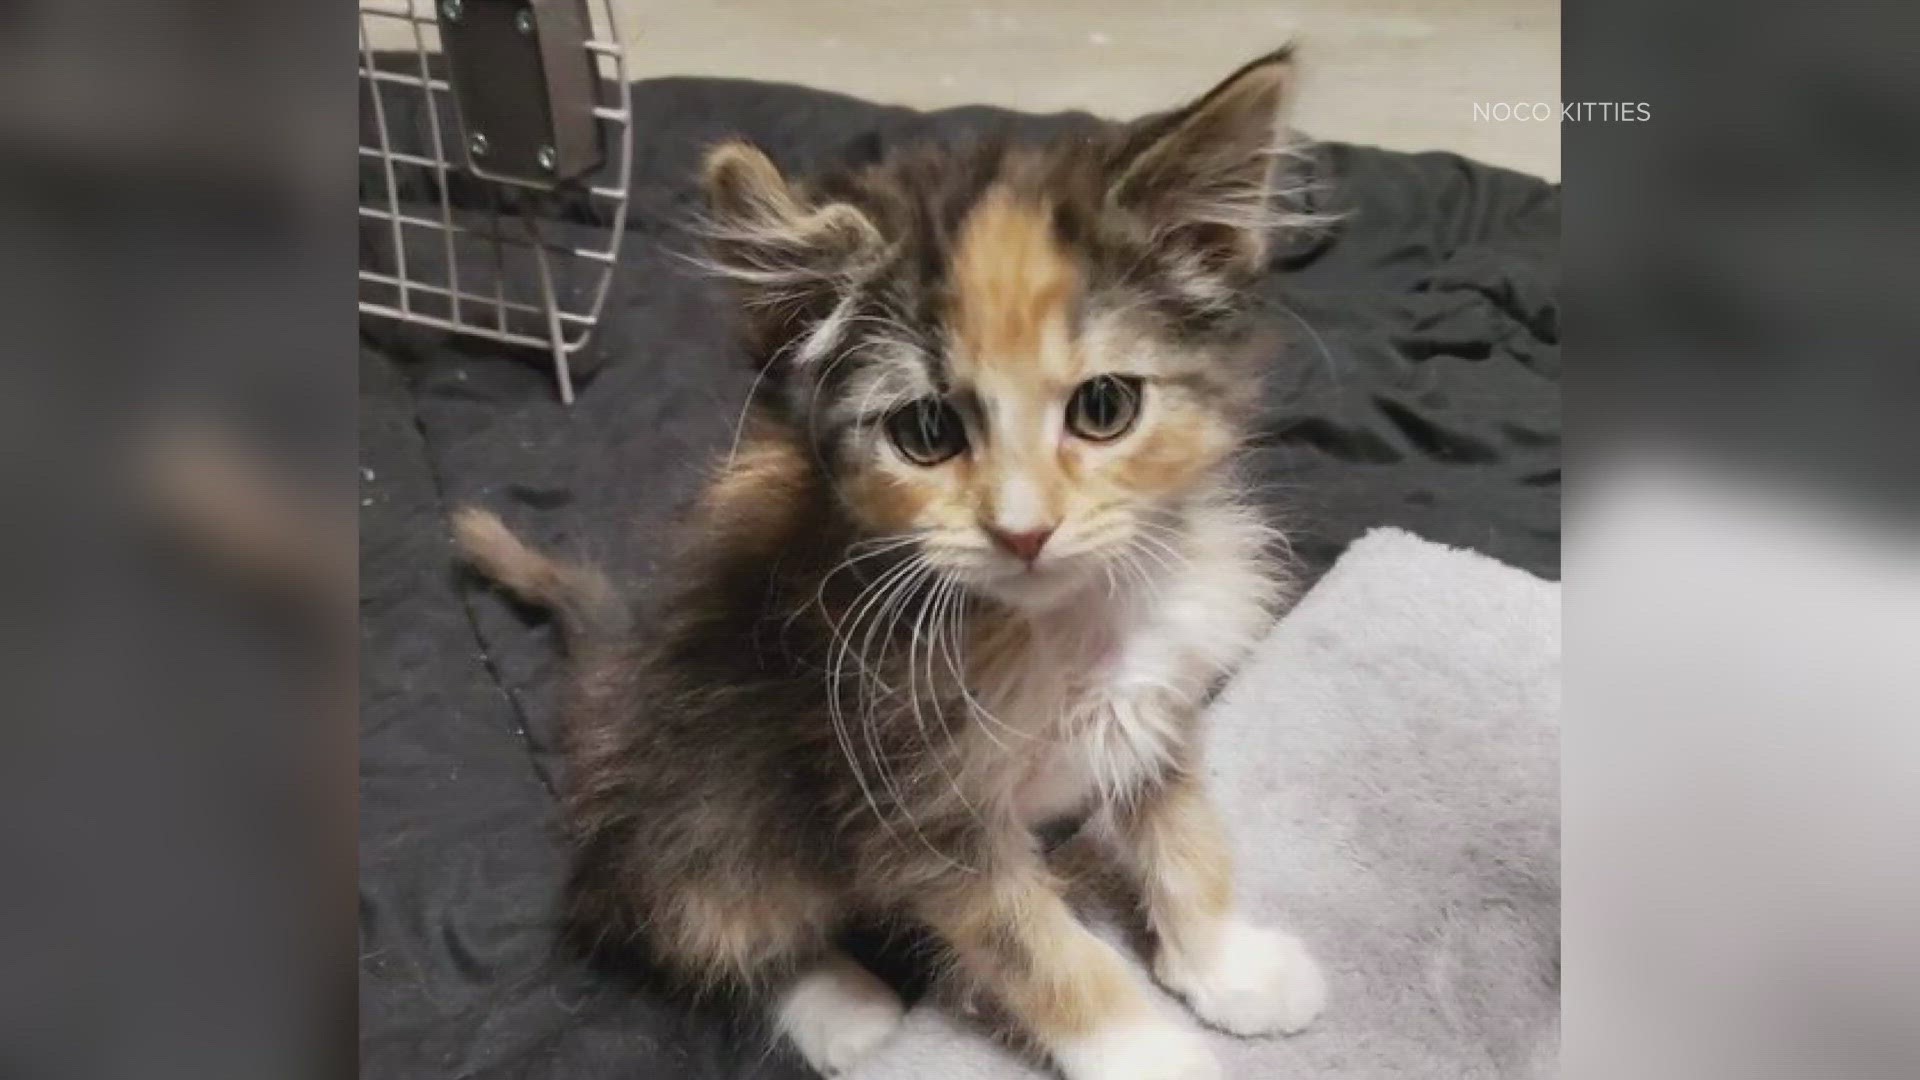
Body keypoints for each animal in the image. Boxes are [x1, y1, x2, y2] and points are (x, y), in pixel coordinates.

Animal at [456, 46, 1328, 1076]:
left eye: (1104, 408)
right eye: (928, 431)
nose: (1024, 531)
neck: (1056, 627)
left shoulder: (1157, 702)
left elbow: (1186, 837)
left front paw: (1226, 964)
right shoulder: (910, 807)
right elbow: (1040, 950)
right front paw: (1148, 1053)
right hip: (708, 784)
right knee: (696, 915)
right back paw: (839, 1001)